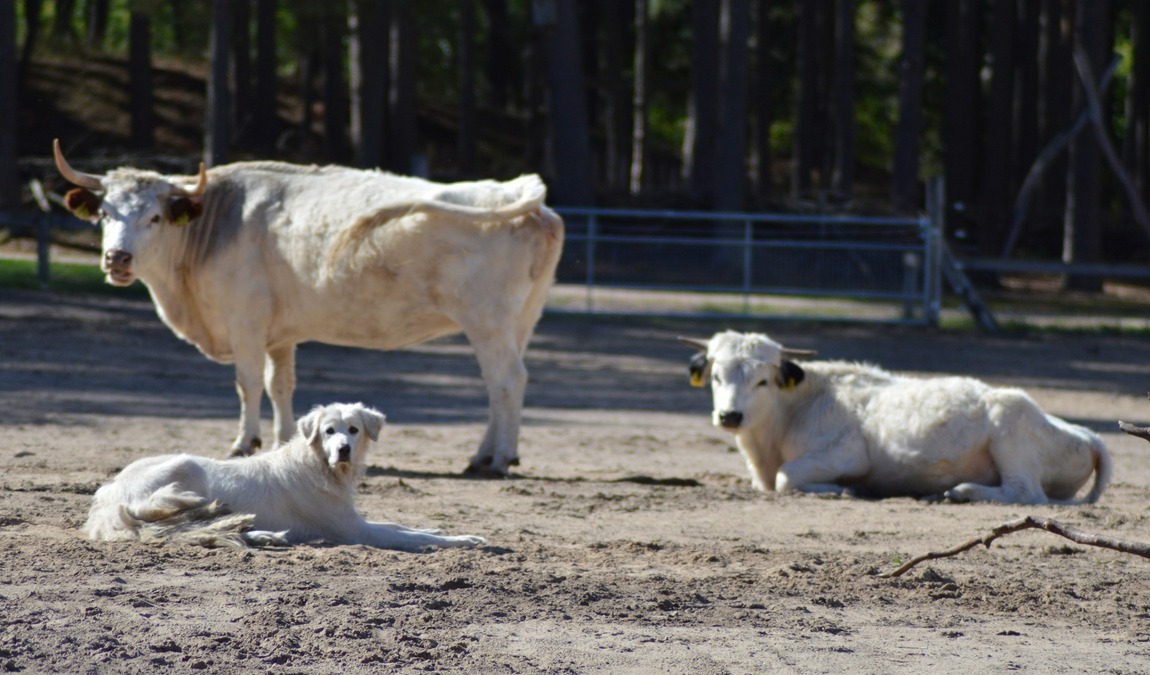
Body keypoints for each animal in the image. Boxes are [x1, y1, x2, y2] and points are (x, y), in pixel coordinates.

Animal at [54, 138, 565, 476]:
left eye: (156, 217)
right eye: (105, 214)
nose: (117, 258)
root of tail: (520, 196)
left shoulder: (245, 320)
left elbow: (247, 383)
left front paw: (243, 442)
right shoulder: (280, 334)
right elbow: (280, 385)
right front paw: (284, 441)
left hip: (487, 322)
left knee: (507, 380)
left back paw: (498, 460)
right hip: (520, 321)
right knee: (499, 387)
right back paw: (483, 455)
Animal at [83, 404, 487, 551]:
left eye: (354, 430)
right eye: (328, 431)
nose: (343, 449)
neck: (320, 465)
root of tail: (110, 493)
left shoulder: (353, 519)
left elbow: (404, 526)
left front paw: (441, 529)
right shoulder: (354, 530)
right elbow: (411, 536)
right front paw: (466, 539)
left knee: (200, 527)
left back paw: (264, 534)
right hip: (185, 469)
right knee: (185, 528)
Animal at [680, 331, 1113, 503]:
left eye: (763, 381)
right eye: (716, 376)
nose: (730, 415)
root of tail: (1087, 435)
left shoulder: (849, 454)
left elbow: (789, 477)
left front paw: (845, 490)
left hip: (1011, 430)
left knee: (1025, 492)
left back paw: (959, 492)